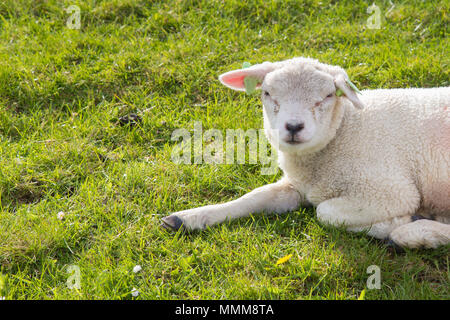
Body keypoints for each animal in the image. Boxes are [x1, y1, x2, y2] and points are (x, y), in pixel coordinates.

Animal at [162, 56, 450, 249]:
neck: (345, 130)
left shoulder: (390, 191)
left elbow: (325, 212)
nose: (293, 126)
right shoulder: (297, 185)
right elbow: (255, 197)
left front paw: (395, 223)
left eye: (326, 96)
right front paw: (190, 217)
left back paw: (416, 233)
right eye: (268, 93)